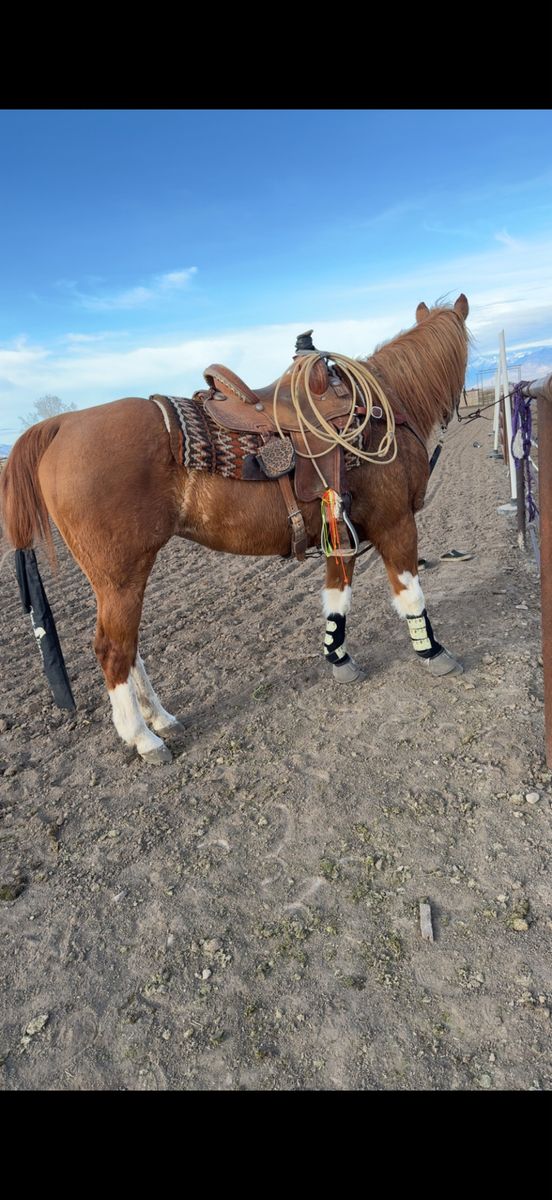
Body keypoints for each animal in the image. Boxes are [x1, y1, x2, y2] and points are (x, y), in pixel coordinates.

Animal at [0, 294, 470, 765]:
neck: (380, 405)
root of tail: (62, 424)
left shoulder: (341, 536)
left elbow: (337, 600)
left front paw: (338, 658)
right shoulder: (397, 524)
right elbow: (411, 595)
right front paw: (433, 651)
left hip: (122, 580)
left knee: (130, 650)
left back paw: (160, 718)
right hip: (119, 576)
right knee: (113, 651)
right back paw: (143, 737)